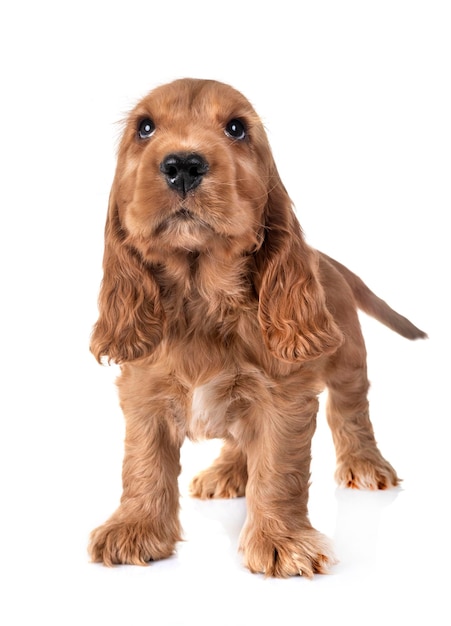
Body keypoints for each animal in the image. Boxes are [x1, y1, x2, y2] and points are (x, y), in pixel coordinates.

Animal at [88, 78, 428, 576]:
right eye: (144, 128)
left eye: (237, 128)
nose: (183, 165)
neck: (201, 301)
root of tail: (330, 262)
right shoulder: (143, 393)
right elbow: (143, 464)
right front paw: (135, 527)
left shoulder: (284, 397)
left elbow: (278, 471)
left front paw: (281, 541)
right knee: (239, 438)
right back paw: (227, 472)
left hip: (348, 362)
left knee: (350, 412)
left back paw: (365, 464)